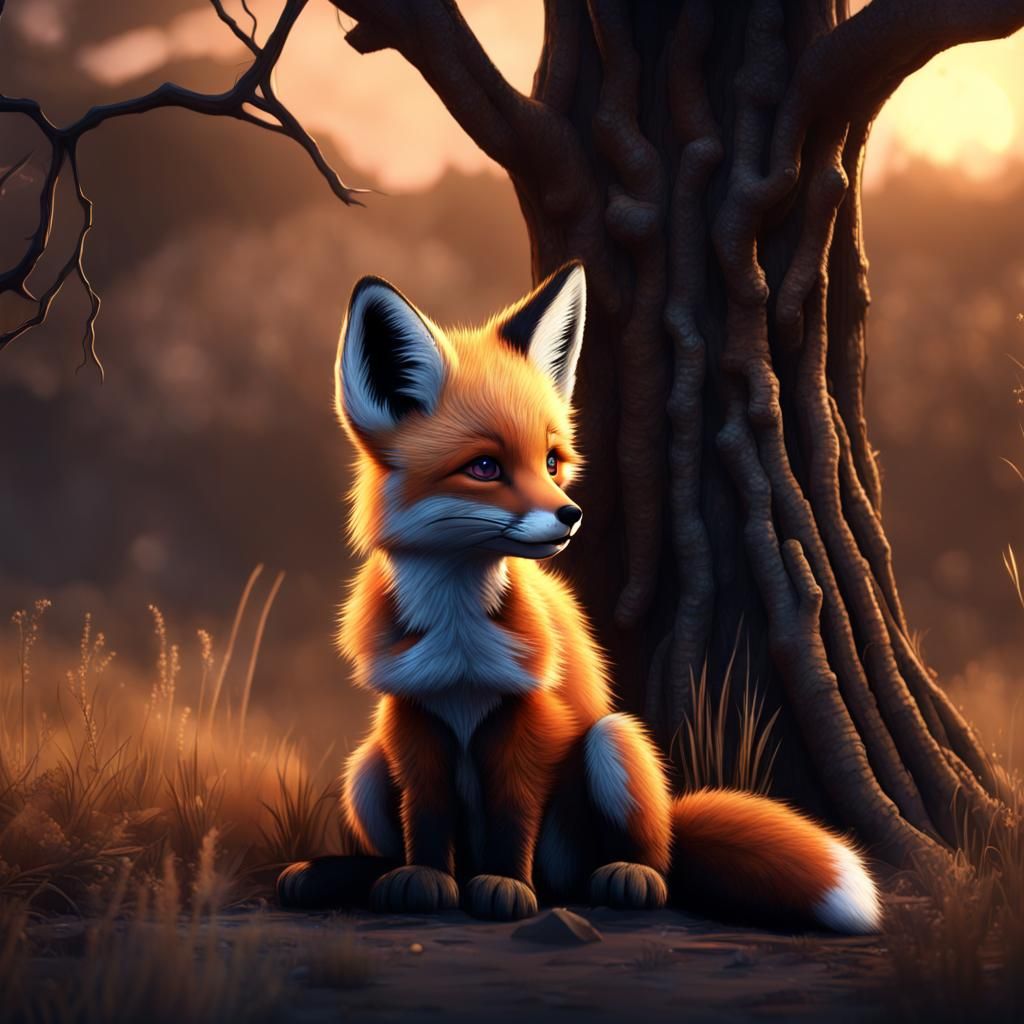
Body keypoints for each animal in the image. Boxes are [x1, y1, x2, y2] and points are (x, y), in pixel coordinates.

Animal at [276, 262, 882, 933]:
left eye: (551, 461)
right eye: (485, 467)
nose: (571, 516)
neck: (459, 642)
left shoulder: (531, 713)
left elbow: (513, 816)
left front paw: (505, 887)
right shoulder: (411, 711)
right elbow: (426, 817)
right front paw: (425, 880)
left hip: (612, 743)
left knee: (649, 858)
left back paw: (622, 876)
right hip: (365, 768)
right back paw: (350, 874)